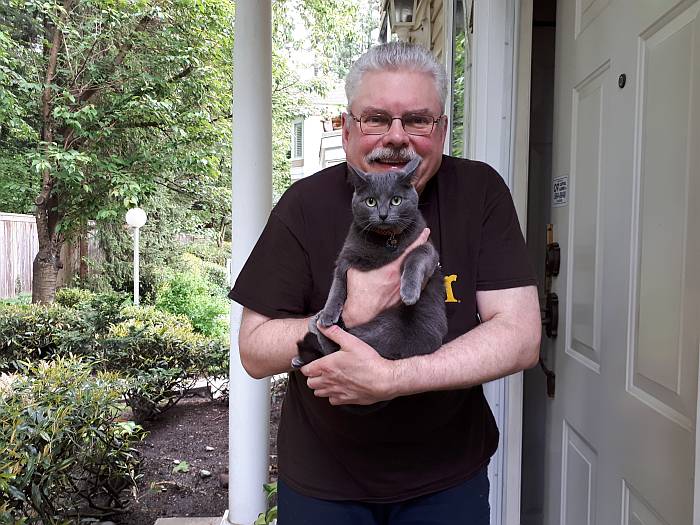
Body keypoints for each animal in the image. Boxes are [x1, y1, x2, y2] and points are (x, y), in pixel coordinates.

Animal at [292, 156, 446, 376]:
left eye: (396, 200)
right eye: (370, 201)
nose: (383, 214)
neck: (385, 241)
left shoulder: (428, 248)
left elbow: (415, 257)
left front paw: (409, 293)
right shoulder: (344, 260)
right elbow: (337, 287)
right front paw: (328, 313)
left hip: (389, 331)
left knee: (335, 347)